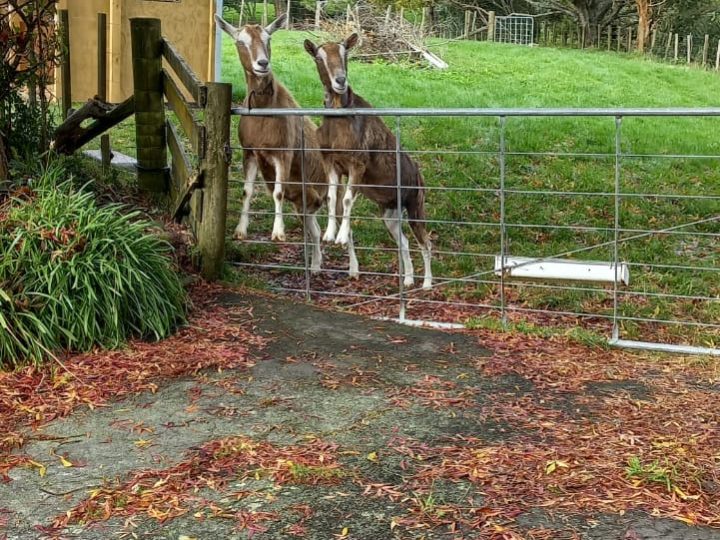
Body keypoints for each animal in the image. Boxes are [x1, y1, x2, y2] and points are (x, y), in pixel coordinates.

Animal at [216, 14, 335, 273]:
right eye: (240, 42)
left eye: (268, 38)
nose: (262, 63)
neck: (265, 110)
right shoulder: (250, 152)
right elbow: (246, 190)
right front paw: (240, 231)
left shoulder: (283, 152)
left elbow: (278, 192)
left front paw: (278, 232)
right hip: (305, 202)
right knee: (314, 230)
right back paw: (314, 265)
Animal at [304, 34, 433, 289]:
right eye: (319, 57)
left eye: (345, 52)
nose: (340, 80)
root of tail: (419, 176)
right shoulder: (331, 162)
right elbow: (332, 196)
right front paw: (329, 234)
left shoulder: (358, 162)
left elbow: (346, 199)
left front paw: (341, 237)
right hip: (390, 213)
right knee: (404, 241)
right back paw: (408, 280)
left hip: (415, 203)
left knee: (425, 241)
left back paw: (427, 283)